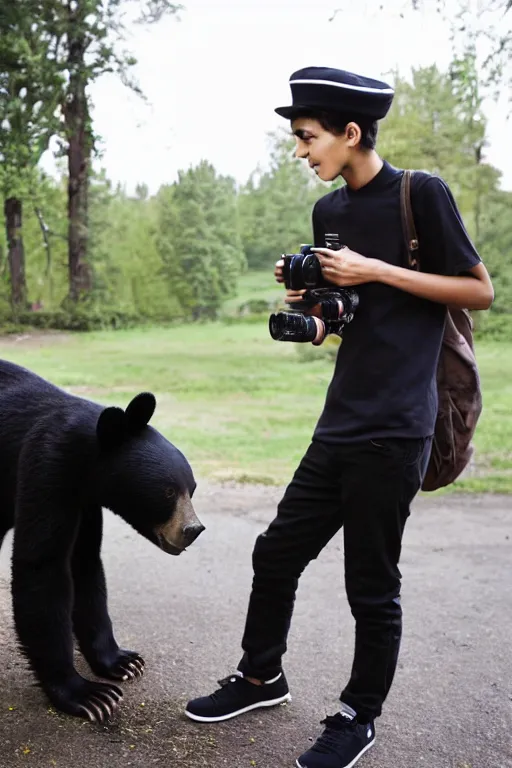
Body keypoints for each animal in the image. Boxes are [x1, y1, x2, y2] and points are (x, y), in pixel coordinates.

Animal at [0, 356, 204, 724]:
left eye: (191, 489)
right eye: (168, 492)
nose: (193, 530)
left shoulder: (85, 501)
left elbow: (85, 564)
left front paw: (124, 662)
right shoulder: (45, 468)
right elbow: (42, 566)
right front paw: (88, 695)